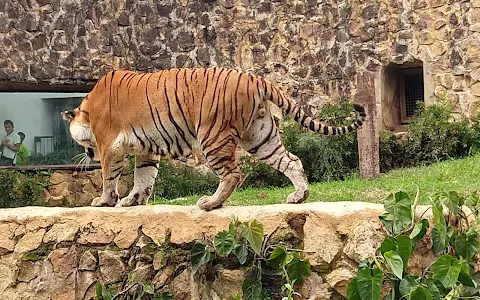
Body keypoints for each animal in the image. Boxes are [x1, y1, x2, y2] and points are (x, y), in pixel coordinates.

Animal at [62, 66, 366, 210]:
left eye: (85, 145)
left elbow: (108, 177)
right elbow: (144, 178)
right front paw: (133, 201)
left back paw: (210, 203)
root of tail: (255, 78)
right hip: (261, 137)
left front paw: (104, 201)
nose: (87, 154)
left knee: (232, 174)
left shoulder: (108, 145)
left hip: (212, 136)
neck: (88, 107)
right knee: (292, 160)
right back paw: (299, 196)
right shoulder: (146, 150)